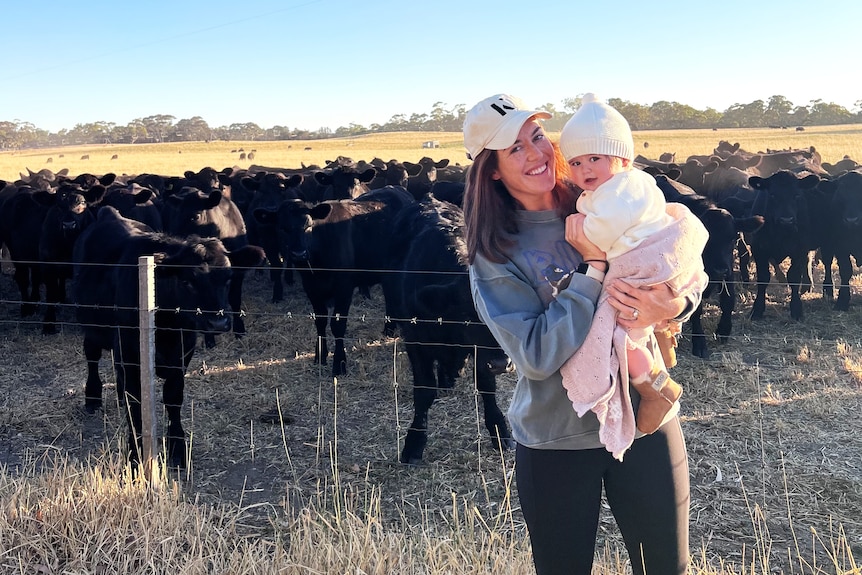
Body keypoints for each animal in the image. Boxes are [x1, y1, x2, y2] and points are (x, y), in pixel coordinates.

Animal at [73, 206, 265, 467]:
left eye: (227, 278)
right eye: (186, 281)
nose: (218, 322)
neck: (166, 323)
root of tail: (109, 212)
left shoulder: (183, 350)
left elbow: (173, 397)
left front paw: (177, 448)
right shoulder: (130, 352)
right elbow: (136, 404)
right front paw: (135, 453)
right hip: (91, 325)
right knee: (92, 357)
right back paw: (92, 397)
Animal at [253, 186, 414, 376]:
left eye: (308, 226)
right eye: (282, 228)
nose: (299, 254)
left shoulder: (344, 288)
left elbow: (337, 325)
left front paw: (339, 363)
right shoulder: (311, 288)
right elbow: (320, 321)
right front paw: (320, 356)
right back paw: (388, 329)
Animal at [384, 197, 513, 464]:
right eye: (468, 316)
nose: (500, 363)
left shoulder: (479, 353)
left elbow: (486, 385)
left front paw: (499, 431)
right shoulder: (416, 342)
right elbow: (424, 392)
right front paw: (414, 443)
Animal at [747, 170, 822, 320]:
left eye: (797, 195)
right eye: (772, 195)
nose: (786, 220)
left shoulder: (799, 249)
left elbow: (794, 277)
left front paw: (796, 309)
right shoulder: (759, 249)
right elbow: (763, 278)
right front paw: (757, 310)